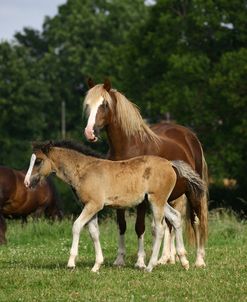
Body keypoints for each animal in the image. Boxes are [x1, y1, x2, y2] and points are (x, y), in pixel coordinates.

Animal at [24, 140, 206, 272]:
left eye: (38, 161)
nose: (26, 183)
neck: (84, 170)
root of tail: (170, 164)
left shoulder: (94, 205)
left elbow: (76, 226)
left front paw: (71, 263)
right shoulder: (91, 207)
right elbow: (94, 233)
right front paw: (96, 266)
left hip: (157, 201)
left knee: (160, 228)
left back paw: (150, 266)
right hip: (158, 201)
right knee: (175, 218)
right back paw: (184, 261)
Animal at [83, 79, 208, 268]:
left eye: (104, 104)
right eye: (88, 104)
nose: (90, 132)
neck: (129, 147)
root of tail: (190, 136)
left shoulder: (141, 199)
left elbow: (139, 227)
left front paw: (141, 261)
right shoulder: (118, 194)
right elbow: (122, 225)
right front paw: (120, 259)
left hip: (192, 192)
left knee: (197, 219)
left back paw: (199, 260)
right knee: (169, 224)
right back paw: (166, 258)